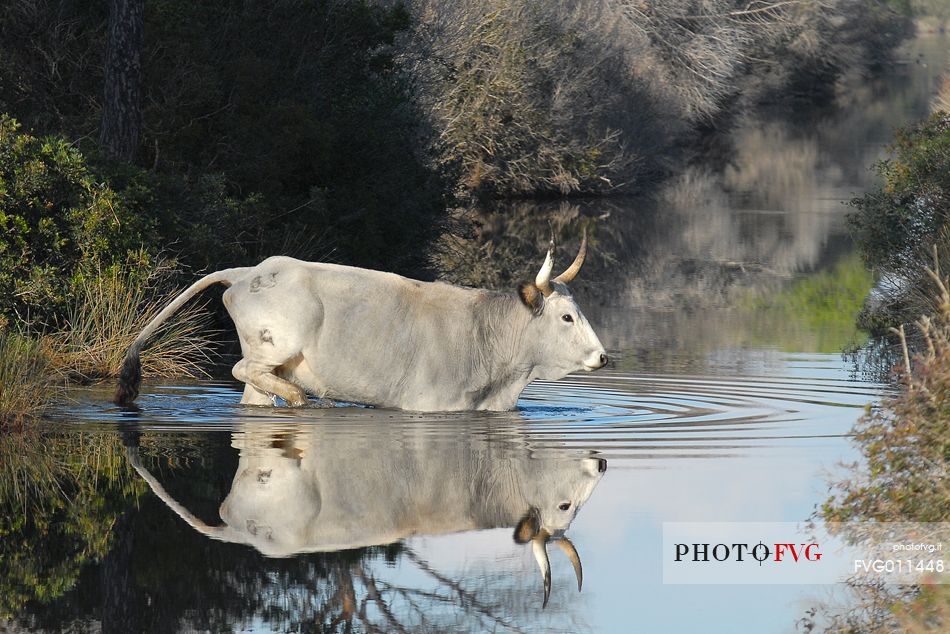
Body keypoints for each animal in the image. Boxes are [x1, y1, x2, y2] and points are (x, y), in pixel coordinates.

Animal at [115, 235, 608, 408]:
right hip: (276, 344)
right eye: (567, 316)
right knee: (241, 368)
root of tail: (251, 271)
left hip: (265, 373)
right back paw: (300, 398)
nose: (603, 357)